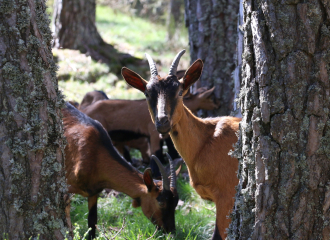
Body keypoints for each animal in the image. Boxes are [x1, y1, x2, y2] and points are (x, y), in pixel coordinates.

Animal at [62, 102, 180, 239]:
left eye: (176, 202)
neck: (96, 154)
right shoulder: (67, 188)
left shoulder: (93, 191)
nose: (171, 232)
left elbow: (92, 221)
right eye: (161, 202)